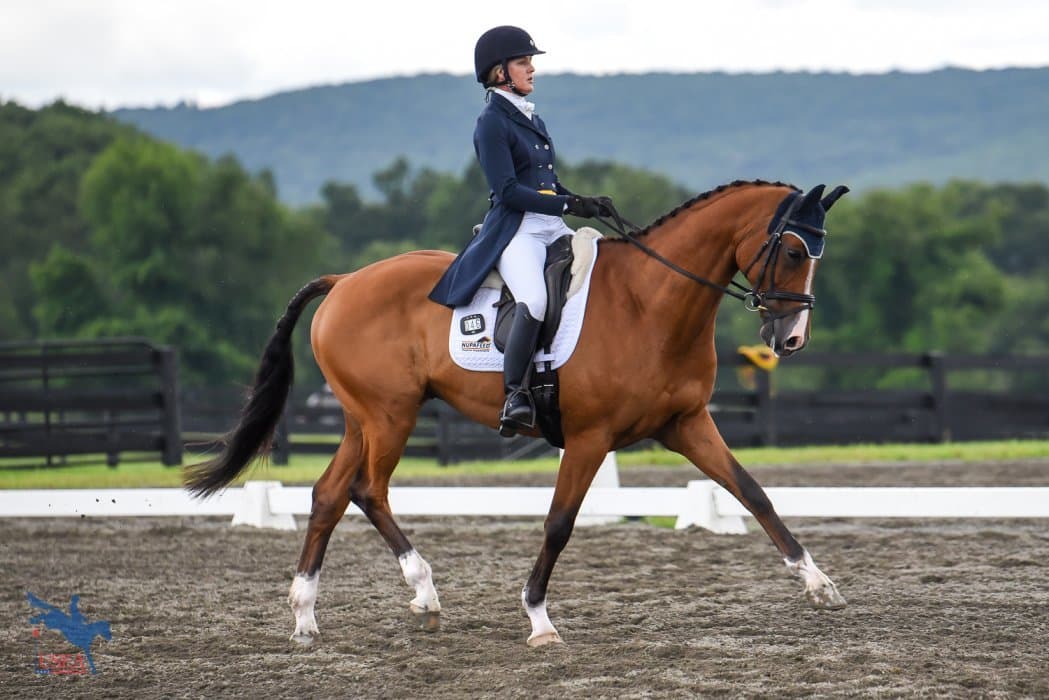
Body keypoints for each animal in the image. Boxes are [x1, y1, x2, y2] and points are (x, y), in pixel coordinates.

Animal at [185, 179, 850, 647]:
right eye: (794, 251)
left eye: (818, 253)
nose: (792, 339)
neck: (649, 303)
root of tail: (345, 280)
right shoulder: (588, 438)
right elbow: (559, 524)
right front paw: (538, 619)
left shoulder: (687, 425)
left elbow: (752, 493)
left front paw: (819, 584)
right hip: (389, 416)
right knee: (367, 490)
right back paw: (424, 593)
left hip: (363, 418)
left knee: (329, 494)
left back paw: (306, 618)